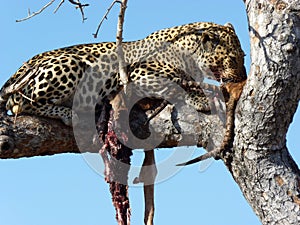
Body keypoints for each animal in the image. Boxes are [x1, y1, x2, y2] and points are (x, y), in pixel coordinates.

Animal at [0, 22, 246, 130]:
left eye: (243, 56)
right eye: (233, 59)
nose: (242, 77)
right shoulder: (139, 73)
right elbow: (174, 84)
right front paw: (199, 99)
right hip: (72, 63)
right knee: (24, 105)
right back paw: (69, 113)